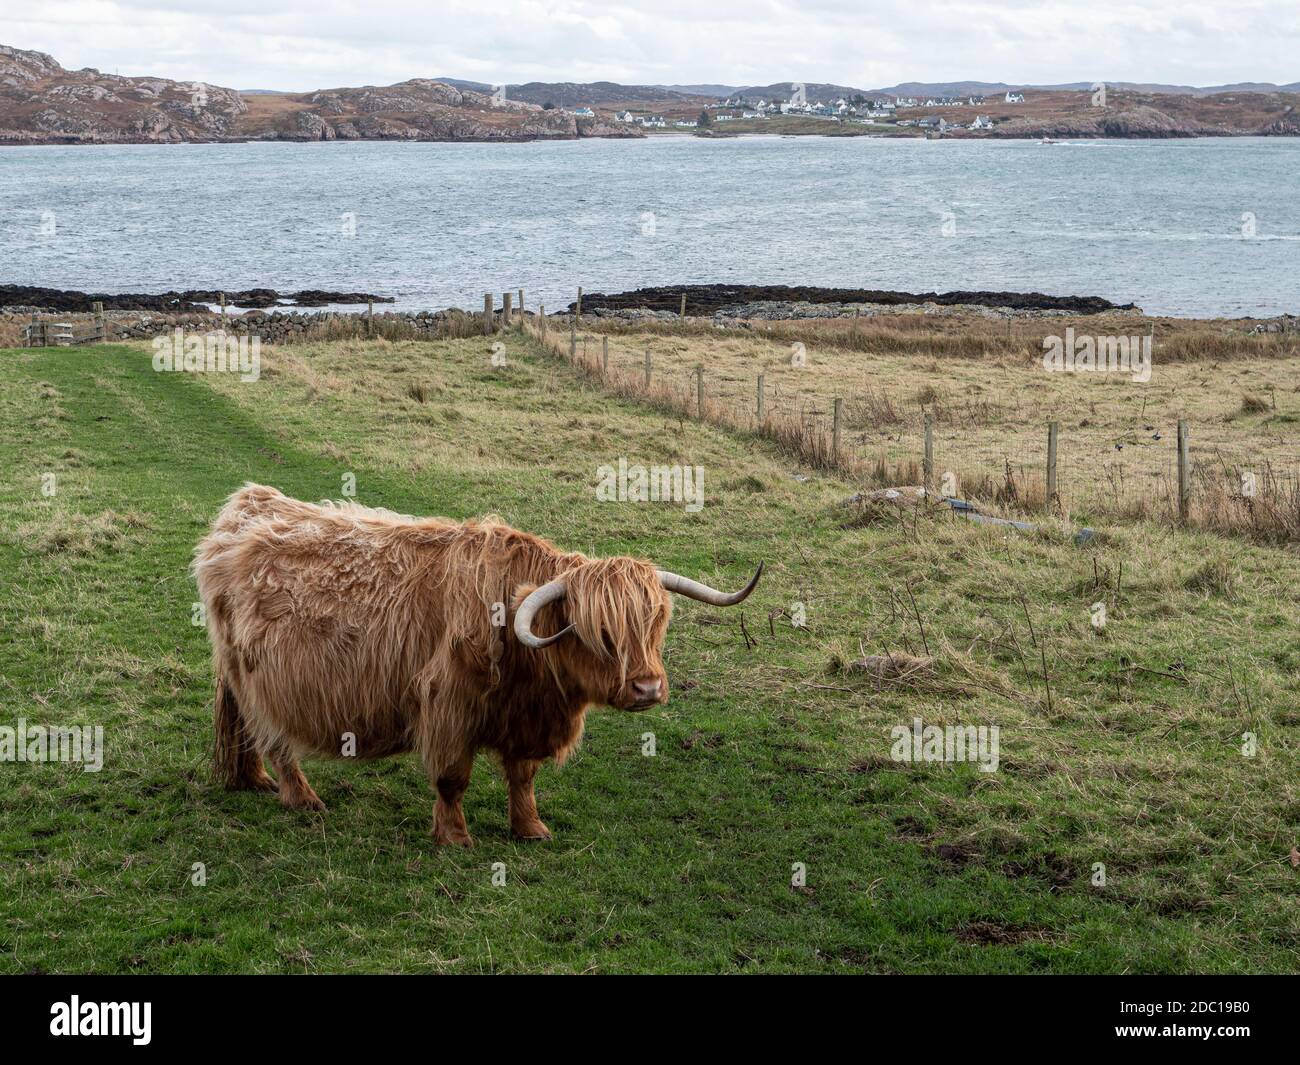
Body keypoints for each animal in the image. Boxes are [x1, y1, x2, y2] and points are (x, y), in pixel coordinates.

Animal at [193, 484, 761, 846]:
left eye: (655, 622)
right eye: (599, 632)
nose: (647, 689)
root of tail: (245, 506)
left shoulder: (526, 718)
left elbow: (524, 777)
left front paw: (530, 829)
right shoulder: (448, 706)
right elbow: (452, 778)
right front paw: (454, 838)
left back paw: (258, 780)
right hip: (257, 681)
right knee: (274, 738)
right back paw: (302, 797)